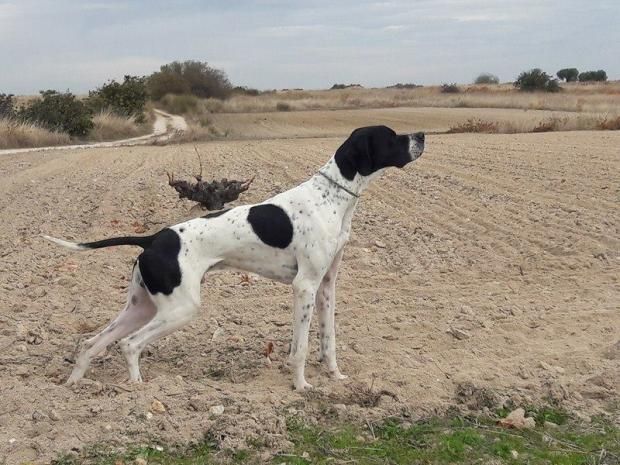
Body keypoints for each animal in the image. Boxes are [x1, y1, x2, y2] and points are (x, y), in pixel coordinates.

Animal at [42, 126, 422, 388]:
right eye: (390, 137)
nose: (421, 135)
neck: (330, 197)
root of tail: (154, 237)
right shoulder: (304, 286)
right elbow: (299, 347)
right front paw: (301, 387)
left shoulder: (326, 286)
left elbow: (328, 341)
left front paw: (336, 377)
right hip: (180, 308)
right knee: (130, 345)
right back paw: (138, 390)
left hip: (142, 308)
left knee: (91, 342)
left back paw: (75, 384)